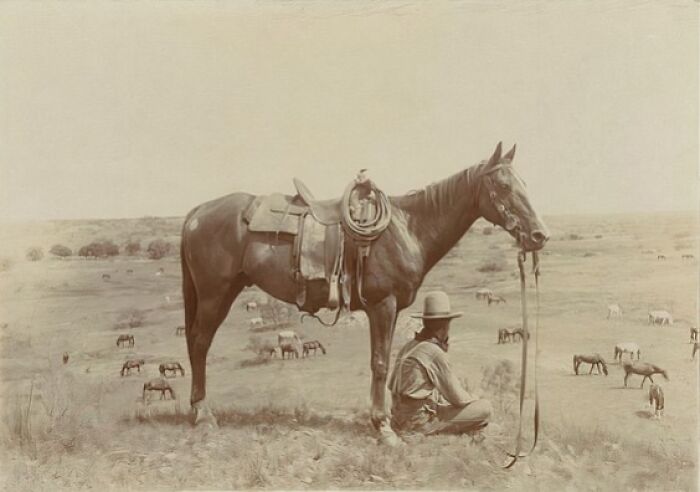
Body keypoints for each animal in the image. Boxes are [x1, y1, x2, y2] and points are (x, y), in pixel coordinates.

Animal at [180, 142, 549, 443]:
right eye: (504, 185)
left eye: (525, 184)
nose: (539, 235)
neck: (406, 228)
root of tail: (197, 212)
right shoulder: (382, 305)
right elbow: (380, 363)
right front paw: (383, 427)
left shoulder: (392, 308)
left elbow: (387, 359)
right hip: (215, 295)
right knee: (199, 343)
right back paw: (203, 414)